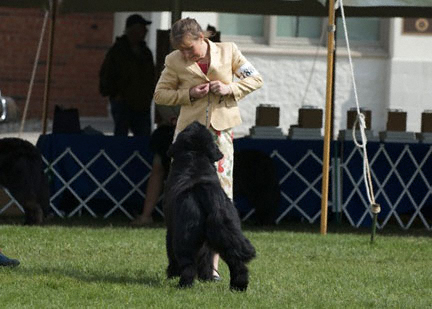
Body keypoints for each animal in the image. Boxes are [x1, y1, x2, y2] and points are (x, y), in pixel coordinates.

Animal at [164, 121, 255, 290]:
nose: (196, 122)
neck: (195, 157)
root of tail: (206, 192)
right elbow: (206, 258)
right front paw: (206, 277)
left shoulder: (170, 229)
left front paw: (172, 274)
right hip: (227, 230)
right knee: (237, 262)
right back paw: (238, 287)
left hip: (185, 235)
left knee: (187, 263)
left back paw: (183, 284)